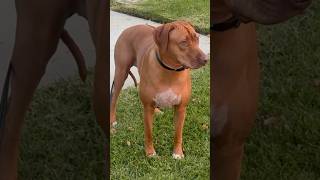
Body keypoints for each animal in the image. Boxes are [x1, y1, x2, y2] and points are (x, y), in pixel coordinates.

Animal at [111, 20, 209, 159]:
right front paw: (150, 152)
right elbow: (149, 133)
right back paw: (112, 120)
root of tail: (129, 28)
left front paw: (177, 152)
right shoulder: (147, 109)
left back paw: (157, 111)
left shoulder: (181, 108)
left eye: (197, 38)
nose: (206, 60)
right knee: (114, 98)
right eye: (183, 42)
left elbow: (178, 134)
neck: (171, 70)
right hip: (121, 72)